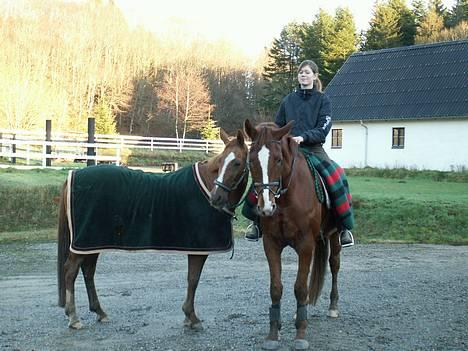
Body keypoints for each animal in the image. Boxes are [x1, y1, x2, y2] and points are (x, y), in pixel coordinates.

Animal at [57, 129, 249, 330]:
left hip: (92, 242)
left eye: (237, 162)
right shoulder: (198, 249)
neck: (206, 183)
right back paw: (74, 317)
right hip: (84, 242)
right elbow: (193, 279)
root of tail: (74, 173)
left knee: (88, 271)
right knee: (70, 272)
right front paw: (192, 317)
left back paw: (99, 312)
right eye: (221, 162)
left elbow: (192, 279)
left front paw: (189, 316)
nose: (216, 198)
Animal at [245, 119, 340, 350]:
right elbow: (276, 288)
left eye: (279, 160)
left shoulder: (305, 245)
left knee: (334, 265)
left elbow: (300, 288)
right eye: (251, 161)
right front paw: (273, 333)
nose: (266, 207)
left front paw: (300, 334)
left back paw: (333, 306)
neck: (286, 200)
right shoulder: (271, 244)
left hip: (335, 235)